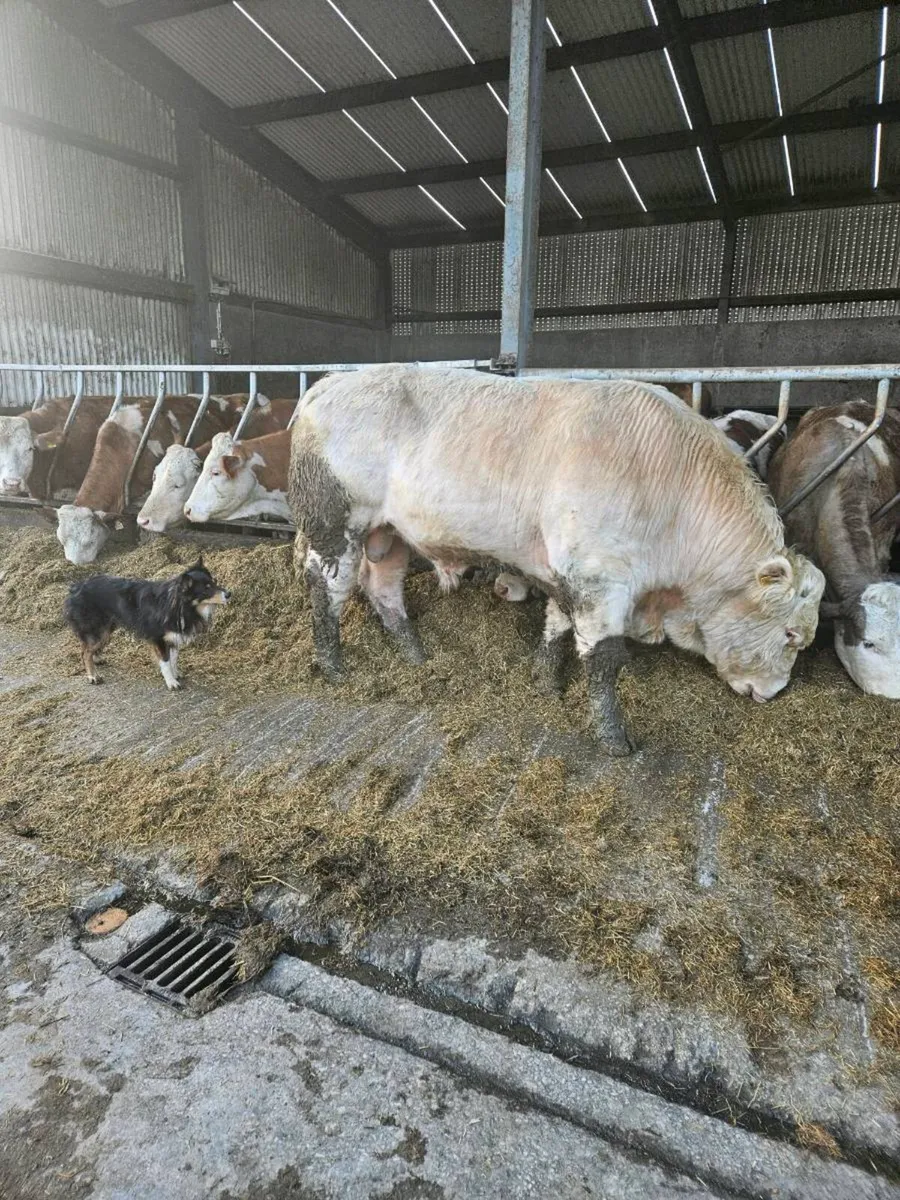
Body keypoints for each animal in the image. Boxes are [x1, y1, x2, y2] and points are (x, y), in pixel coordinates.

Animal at [288, 365, 824, 755]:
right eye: (791, 634)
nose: (774, 692)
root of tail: (329, 384)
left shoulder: (571, 573)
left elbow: (556, 624)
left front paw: (545, 682)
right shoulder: (600, 577)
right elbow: (603, 658)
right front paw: (615, 740)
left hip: (389, 533)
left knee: (383, 587)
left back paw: (415, 655)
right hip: (335, 522)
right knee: (328, 589)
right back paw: (333, 665)